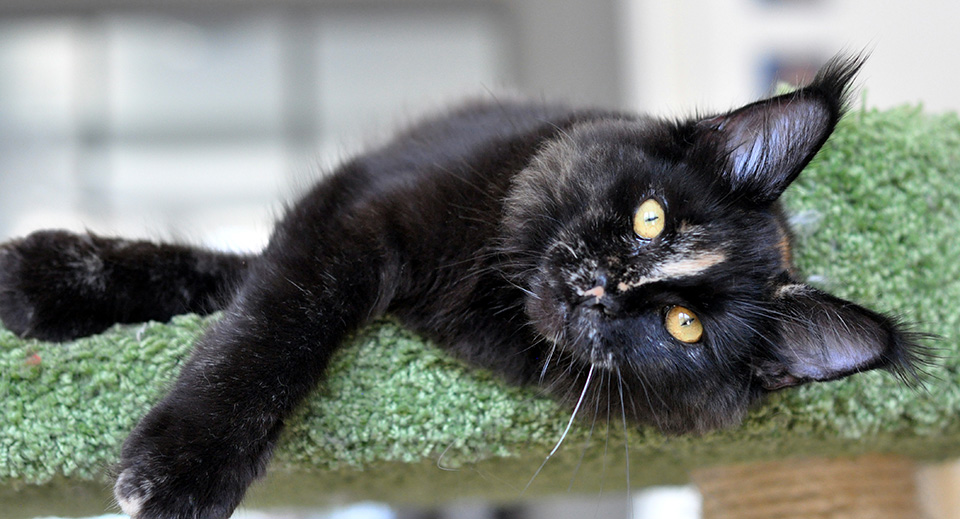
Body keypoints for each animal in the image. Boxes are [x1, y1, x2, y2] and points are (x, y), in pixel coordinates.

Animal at [0, 54, 928, 516]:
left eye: (682, 325)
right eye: (651, 217)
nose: (602, 285)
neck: (491, 282)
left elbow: (248, 301)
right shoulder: (359, 208)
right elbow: (271, 325)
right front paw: (184, 462)